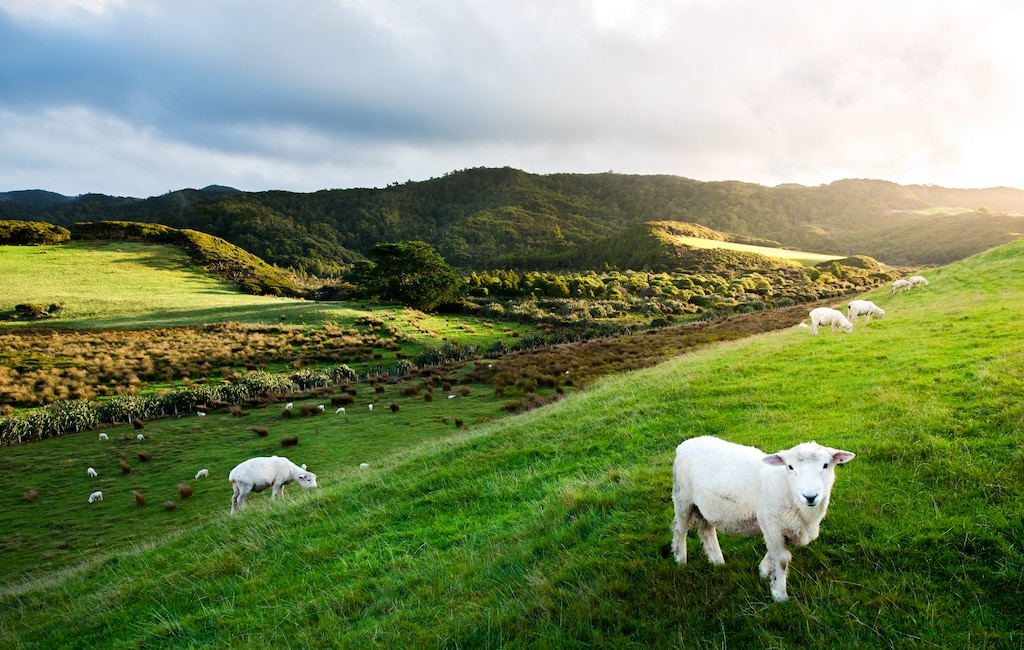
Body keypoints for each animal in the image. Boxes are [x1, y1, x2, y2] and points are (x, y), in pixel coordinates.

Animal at [671, 434, 856, 601]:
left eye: (825, 465)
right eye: (790, 467)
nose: (810, 496)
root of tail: (686, 443)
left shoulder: (786, 527)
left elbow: (779, 554)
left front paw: (764, 571)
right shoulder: (770, 523)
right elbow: (781, 559)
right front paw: (780, 595)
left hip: (706, 506)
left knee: (707, 530)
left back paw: (717, 561)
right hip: (683, 498)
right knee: (680, 529)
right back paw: (680, 560)